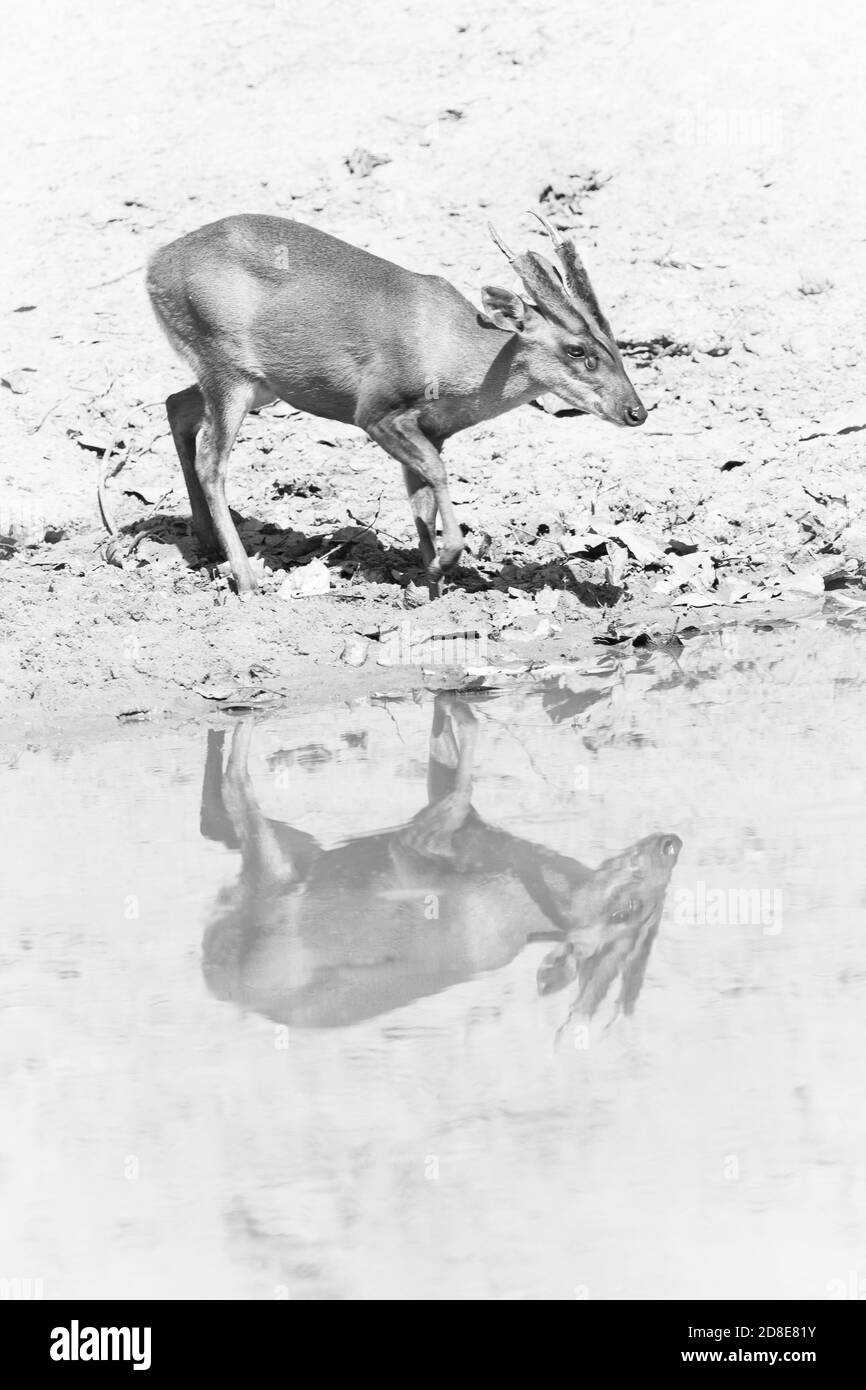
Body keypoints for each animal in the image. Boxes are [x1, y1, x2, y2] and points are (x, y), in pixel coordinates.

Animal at [145, 211, 647, 592]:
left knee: (176, 407)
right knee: (212, 461)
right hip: (228, 373)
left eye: (613, 342)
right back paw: (247, 579)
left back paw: (207, 544)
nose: (636, 412)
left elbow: (422, 497)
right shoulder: (376, 412)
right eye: (576, 350)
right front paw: (445, 562)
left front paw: (433, 583)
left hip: (257, 386)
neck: (450, 345)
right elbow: (437, 477)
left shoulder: (432, 429)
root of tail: (157, 262)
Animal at [200, 695, 681, 1034]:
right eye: (626, 910)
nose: (671, 844)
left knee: (220, 810)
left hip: (292, 856)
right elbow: (464, 770)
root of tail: (219, 980)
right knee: (232, 788)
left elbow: (453, 763)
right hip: (283, 865)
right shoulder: (419, 847)